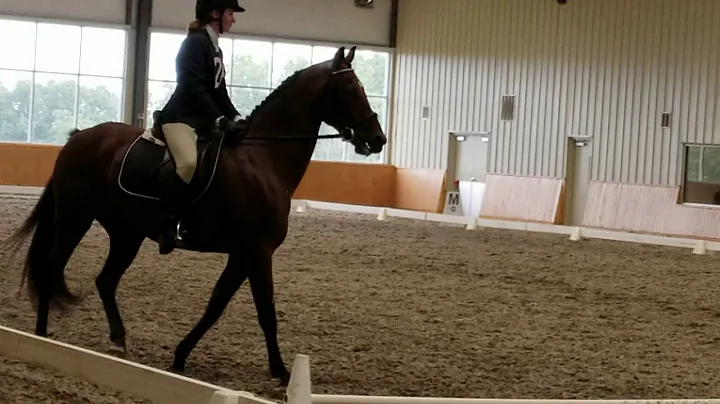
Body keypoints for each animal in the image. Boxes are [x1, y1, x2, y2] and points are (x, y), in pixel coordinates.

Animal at [1, 45, 388, 384]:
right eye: (350, 88)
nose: (377, 138)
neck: (263, 158)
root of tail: (77, 138)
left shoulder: (242, 254)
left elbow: (216, 305)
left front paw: (180, 356)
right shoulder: (258, 251)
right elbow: (266, 312)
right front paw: (281, 372)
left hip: (127, 234)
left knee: (105, 280)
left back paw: (120, 340)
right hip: (75, 218)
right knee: (52, 271)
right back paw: (42, 337)